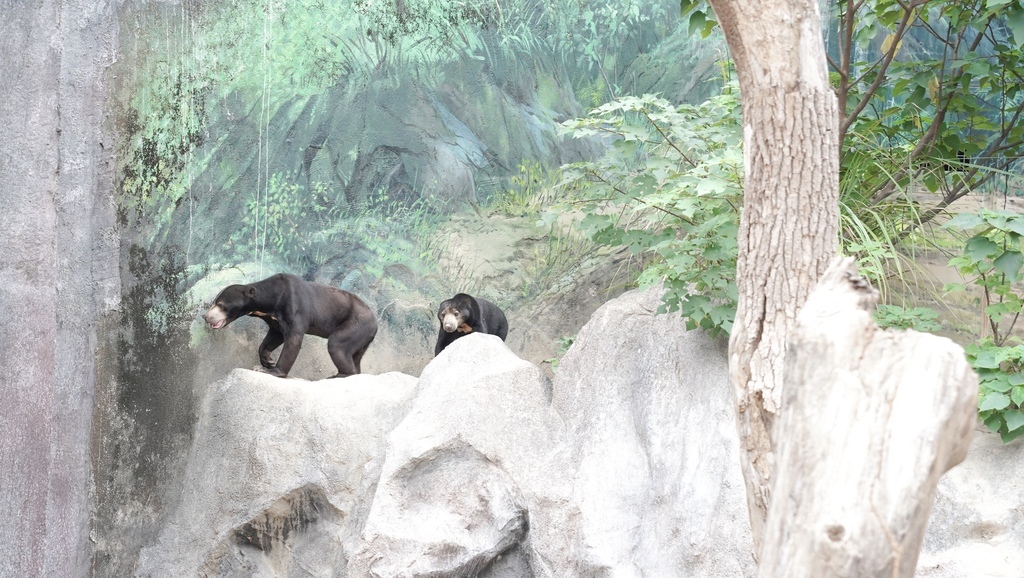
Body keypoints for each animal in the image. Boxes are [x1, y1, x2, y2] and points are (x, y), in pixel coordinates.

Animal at [202, 272, 376, 377]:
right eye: (214, 302)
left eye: (221, 305)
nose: (206, 317)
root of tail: (375, 323)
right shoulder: (274, 319)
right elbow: (274, 336)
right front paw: (267, 360)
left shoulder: (293, 305)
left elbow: (293, 339)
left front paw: (270, 370)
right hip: (362, 338)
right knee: (355, 356)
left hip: (355, 325)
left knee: (336, 344)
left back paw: (338, 375)